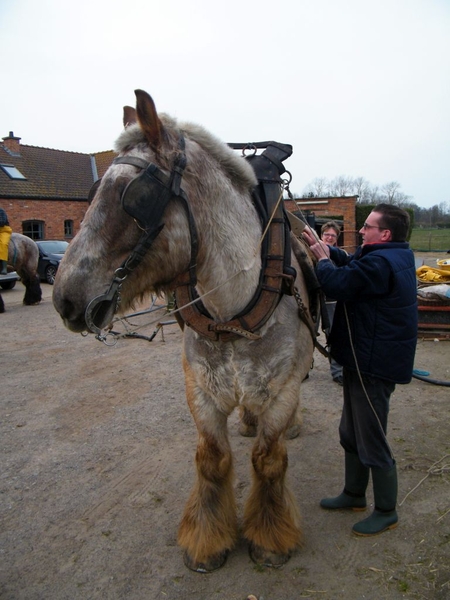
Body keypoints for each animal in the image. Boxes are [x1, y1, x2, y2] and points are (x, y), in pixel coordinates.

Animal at [52, 89, 316, 572]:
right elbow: (212, 459)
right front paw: (207, 538)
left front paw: (271, 537)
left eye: (134, 196)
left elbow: (268, 459)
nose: (65, 299)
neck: (233, 307)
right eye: (93, 192)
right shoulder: (201, 389)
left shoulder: (282, 389)